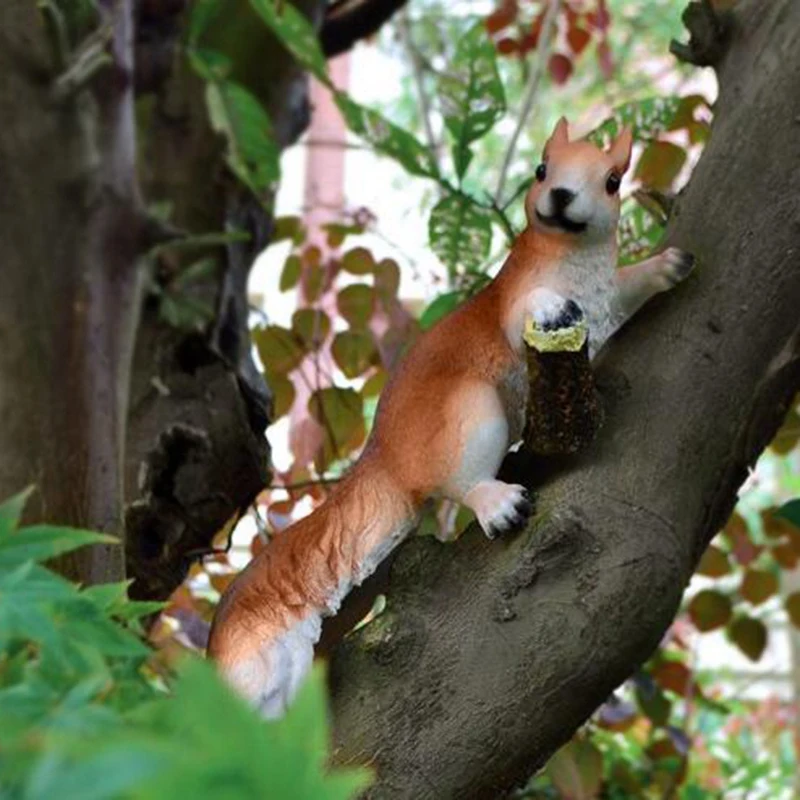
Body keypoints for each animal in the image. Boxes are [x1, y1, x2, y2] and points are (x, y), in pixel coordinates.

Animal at [207, 117, 695, 717]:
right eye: (542, 168)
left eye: (612, 180)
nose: (560, 195)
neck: (573, 257)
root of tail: (388, 462)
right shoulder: (514, 300)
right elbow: (525, 307)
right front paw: (550, 304)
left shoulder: (609, 298)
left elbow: (630, 288)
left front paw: (669, 265)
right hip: (469, 413)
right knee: (459, 481)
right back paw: (495, 500)